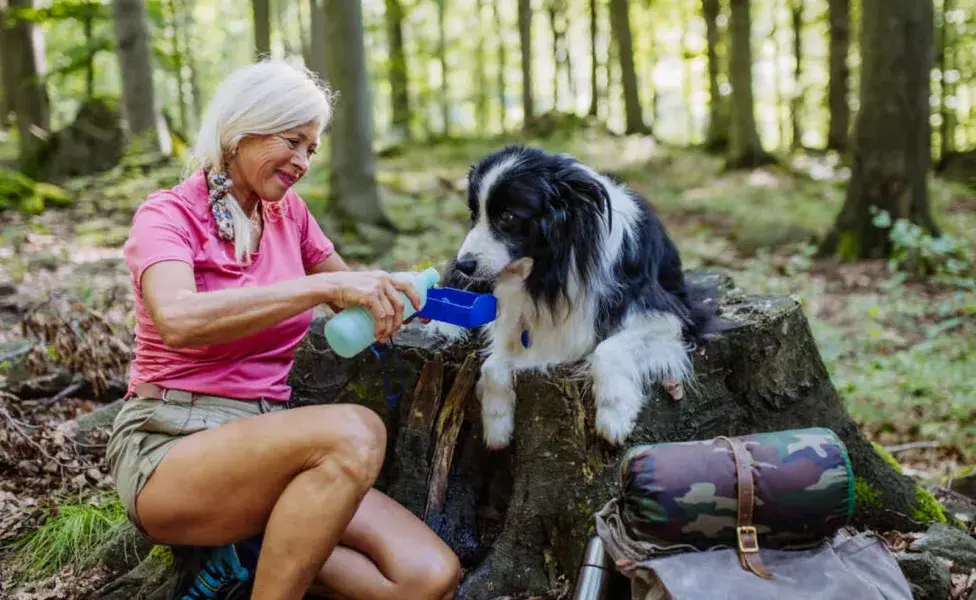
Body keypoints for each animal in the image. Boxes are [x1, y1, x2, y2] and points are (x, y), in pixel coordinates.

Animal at [438, 145, 712, 448]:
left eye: (507, 217)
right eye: (473, 214)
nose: (464, 264)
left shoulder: (672, 312)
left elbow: (607, 348)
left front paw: (615, 416)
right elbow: (492, 363)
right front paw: (497, 424)